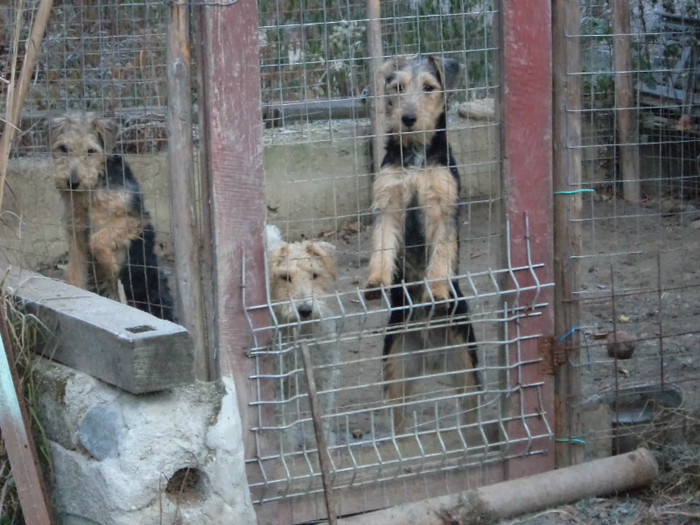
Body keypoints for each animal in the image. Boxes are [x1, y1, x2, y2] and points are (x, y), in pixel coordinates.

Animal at [50, 112, 174, 322]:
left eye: (91, 151)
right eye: (64, 148)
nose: (72, 183)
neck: (93, 189)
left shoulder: (134, 219)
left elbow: (98, 239)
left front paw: (111, 265)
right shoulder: (76, 234)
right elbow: (75, 273)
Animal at [364, 55, 478, 430]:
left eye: (429, 88)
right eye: (397, 87)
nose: (408, 119)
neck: (415, 157)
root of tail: (431, 355)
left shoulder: (441, 205)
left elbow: (440, 255)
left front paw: (438, 291)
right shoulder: (388, 204)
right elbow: (382, 247)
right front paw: (375, 282)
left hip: (466, 363)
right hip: (395, 365)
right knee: (397, 421)